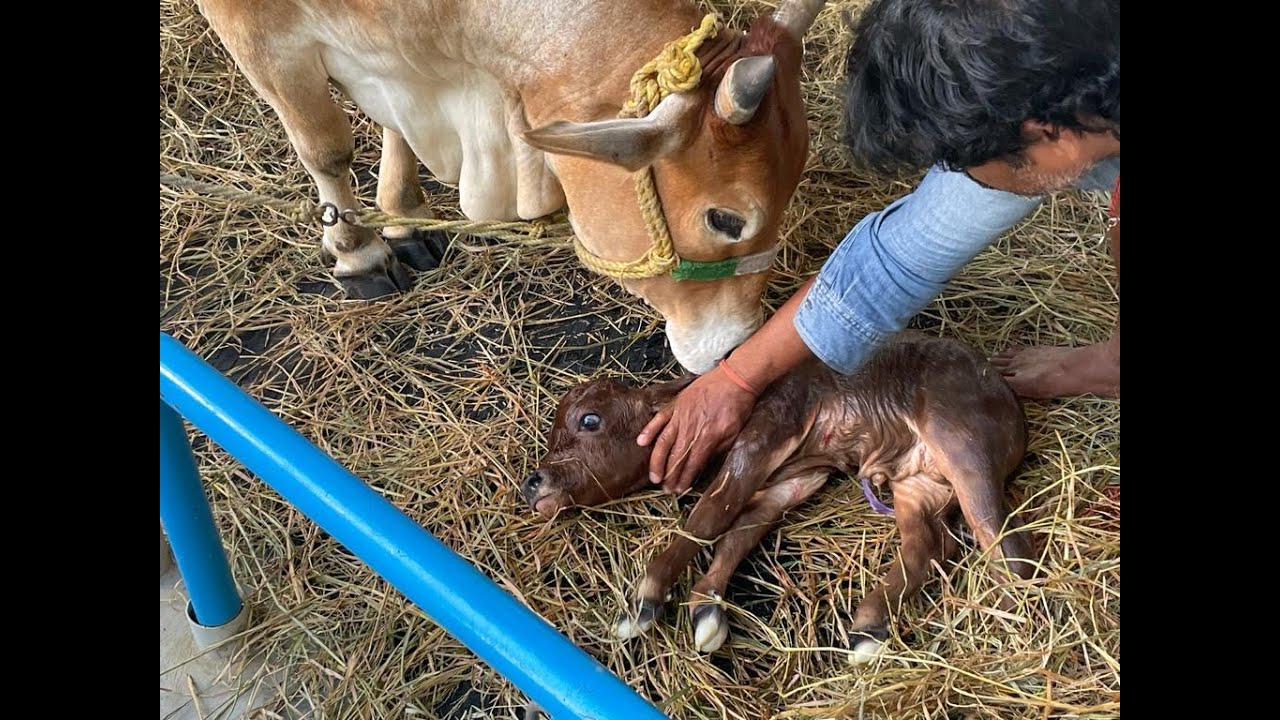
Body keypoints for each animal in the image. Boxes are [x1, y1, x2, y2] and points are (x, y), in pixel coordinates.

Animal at [195, 0, 826, 374]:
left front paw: (403, 217)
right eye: (725, 220)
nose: (739, 346)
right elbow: (326, 148)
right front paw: (359, 253)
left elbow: (393, 125)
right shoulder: (259, 32)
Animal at [522, 331, 1037, 662]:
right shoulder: (792, 480)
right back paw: (867, 629)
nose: (534, 482)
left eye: (590, 419)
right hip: (917, 484)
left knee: (1006, 545)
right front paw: (707, 608)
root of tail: (1012, 405)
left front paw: (645, 600)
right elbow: (738, 531)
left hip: (962, 446)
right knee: (928, 545)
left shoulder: (768, 433)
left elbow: (709, 516)